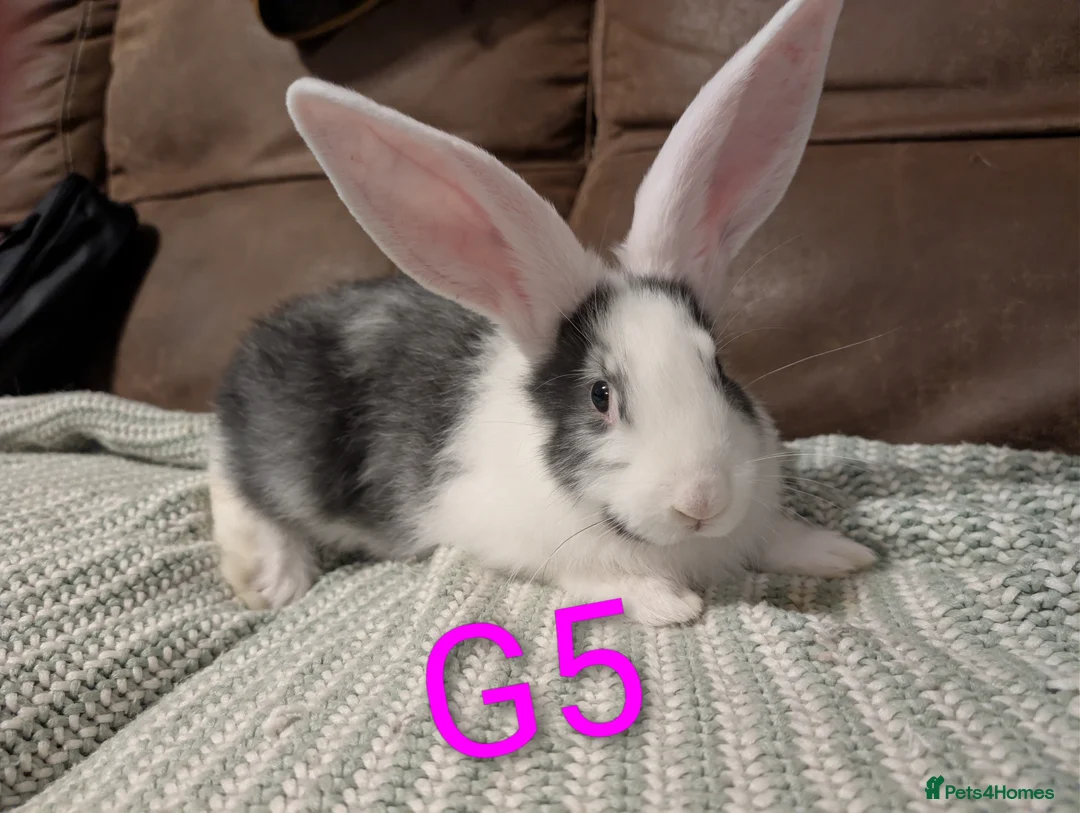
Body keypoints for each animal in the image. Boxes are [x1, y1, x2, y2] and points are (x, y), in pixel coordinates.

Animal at [209, 0, 876, 626]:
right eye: (599, 396)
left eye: (719, 369)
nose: (702, 502)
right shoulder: (510, 537)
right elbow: (598, 578)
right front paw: (667, 604)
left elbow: (776, 536)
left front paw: (838, 553)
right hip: (287, 454)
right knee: (232, 473)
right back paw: (270, 577)